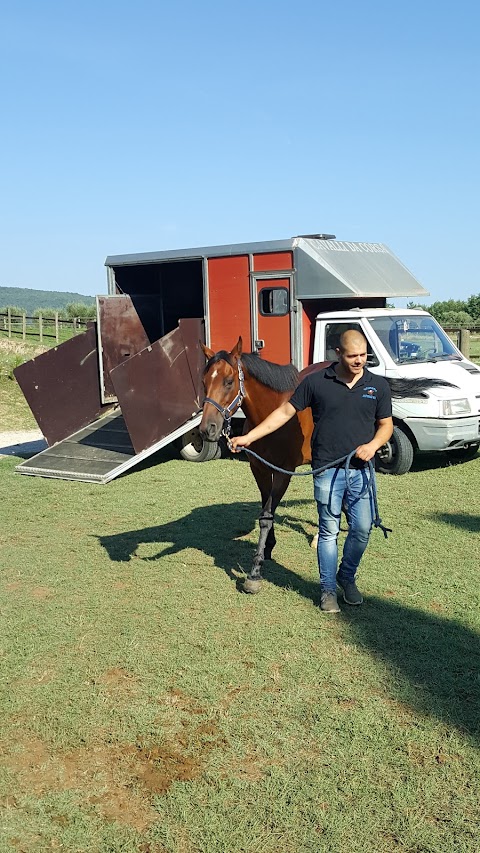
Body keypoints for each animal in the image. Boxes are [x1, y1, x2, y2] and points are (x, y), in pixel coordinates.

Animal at [201, 338, 456, 592]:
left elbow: (267, 516)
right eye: (204, 382)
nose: (207, 429)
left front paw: (254, 573)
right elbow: (266, 511)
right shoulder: (260, 469)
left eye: (229, 381)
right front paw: (268, 548)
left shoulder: (285, 473)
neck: (270, 418)